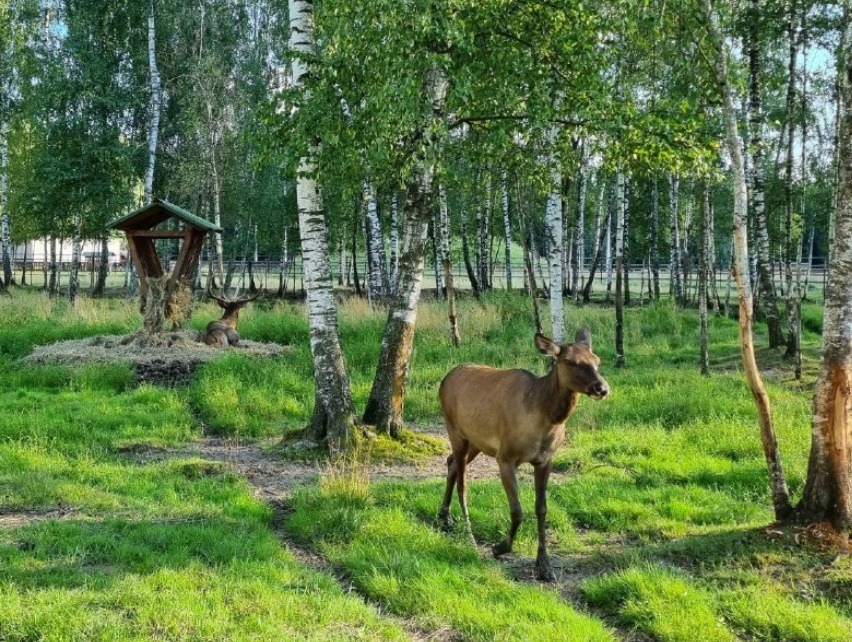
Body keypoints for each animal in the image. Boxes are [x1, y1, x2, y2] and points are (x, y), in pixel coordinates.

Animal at [436, 330, 608, 580]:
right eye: (569, 362)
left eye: (597, 360)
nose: (601, 388)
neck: (546, 421)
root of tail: (446, 378)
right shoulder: (505, 457)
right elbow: (517, 511)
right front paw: (499, 547)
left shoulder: (545, 460)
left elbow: (541, 508)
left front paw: (544, 565)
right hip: (455, 430)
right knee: (462, 482)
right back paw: (468, 535)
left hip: (476, 441)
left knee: (451, 464)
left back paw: (444, 516)